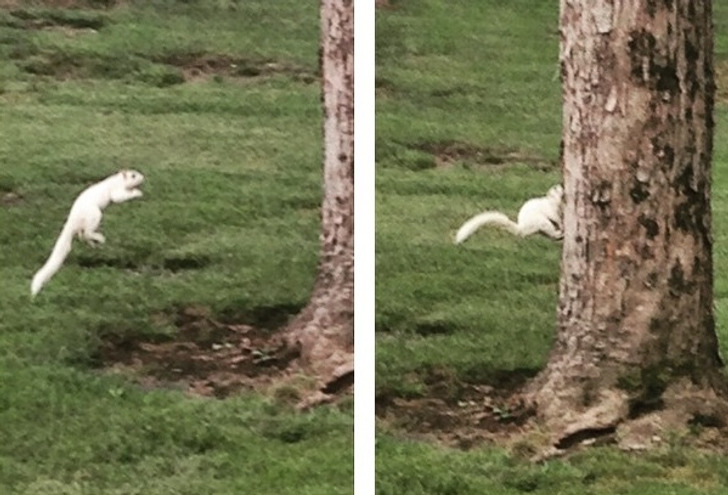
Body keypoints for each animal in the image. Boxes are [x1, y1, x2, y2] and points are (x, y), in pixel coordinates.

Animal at [30, 170, 145, 298]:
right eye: (133, 176)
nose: (143, 177)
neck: (117, 180)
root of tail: (72, 220)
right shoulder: (116, 190)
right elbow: (118, 197)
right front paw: (137, 192)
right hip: (94, 215)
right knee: (87, 232)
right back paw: (100, 239)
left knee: (82, 235)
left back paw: (93, 243)